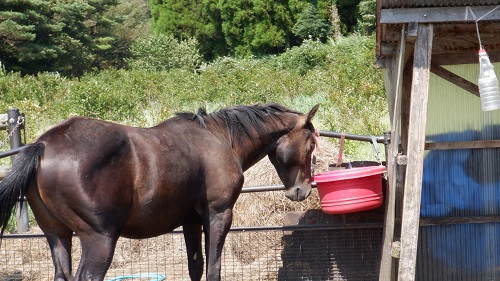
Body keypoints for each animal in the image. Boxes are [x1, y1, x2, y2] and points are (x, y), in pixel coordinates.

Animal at [0, 102, 320, 278]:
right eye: (311, 144)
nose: (302, 191)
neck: (219, 138)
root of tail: (43, 145)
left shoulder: (191, 221)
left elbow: (196, 267)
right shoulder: (218, 215)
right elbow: (213, 268)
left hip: (58, 235)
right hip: (99, 239)